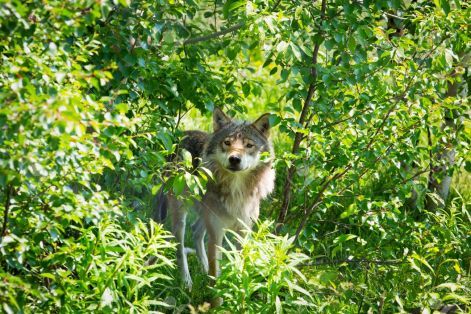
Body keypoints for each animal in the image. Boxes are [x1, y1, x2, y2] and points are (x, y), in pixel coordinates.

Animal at [154, 108, 276, 290]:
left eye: (249, 145)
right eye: (227, 143)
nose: (234, 159)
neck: (236, 191)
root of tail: (180, 135)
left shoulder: (243, 233)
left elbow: (239, 266)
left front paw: (237, 290)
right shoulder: (216, 234)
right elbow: (215, 270)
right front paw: (214, 294)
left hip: (205, 214)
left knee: (196, 231)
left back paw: (202, 270)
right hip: (181, 216)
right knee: (180, 247)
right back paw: (187, 282)